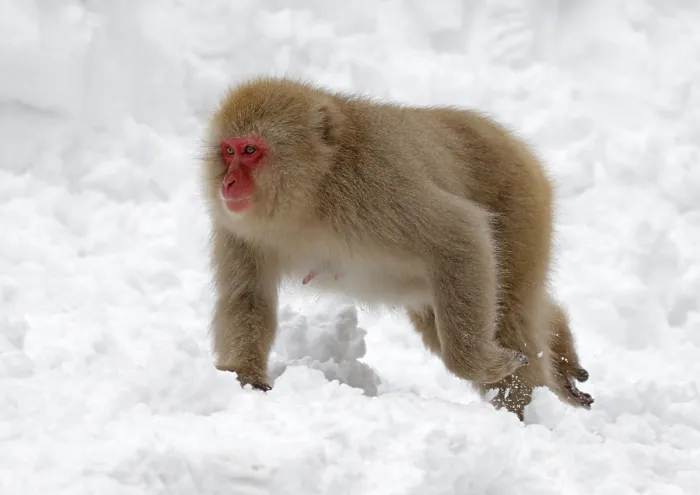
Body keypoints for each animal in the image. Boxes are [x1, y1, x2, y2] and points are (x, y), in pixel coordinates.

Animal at [200, 76, 593, 419]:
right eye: (228, 150)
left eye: (251, 150)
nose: (227, 183)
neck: (313, 193)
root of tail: (512, 142)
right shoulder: (238, 229)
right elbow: (248, 297)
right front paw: (245, 378)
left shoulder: (376, 187)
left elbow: (460, 234)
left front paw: (479, 364)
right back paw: (560, 356)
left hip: (521, 205)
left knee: (510, 309)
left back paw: (525, 412)